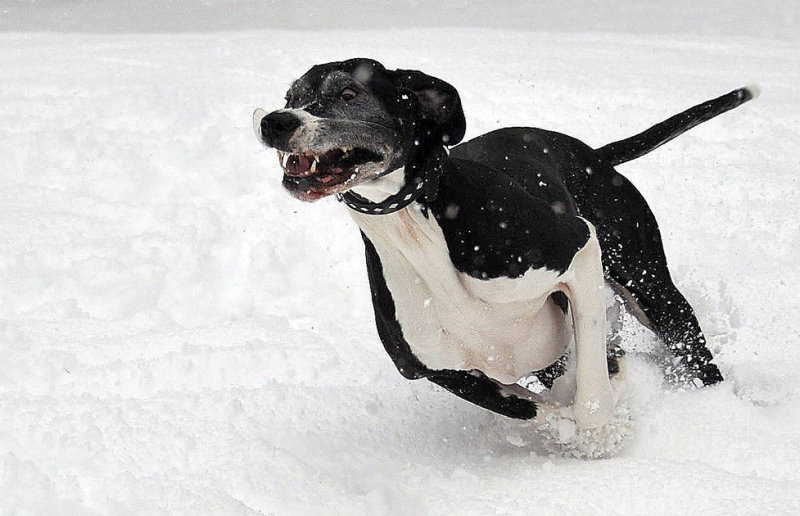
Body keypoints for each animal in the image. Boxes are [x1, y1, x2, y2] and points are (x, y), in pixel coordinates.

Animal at [253, 58, 755, 429]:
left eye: (348, 94)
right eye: (290, 98)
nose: (274, 122)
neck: (415, 229)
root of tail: (593, 153)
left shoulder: (579, 248)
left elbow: (592, 390)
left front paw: (601, 436)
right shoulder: (441, 371)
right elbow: (534, 410)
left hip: (650, 288)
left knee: (693, 351)